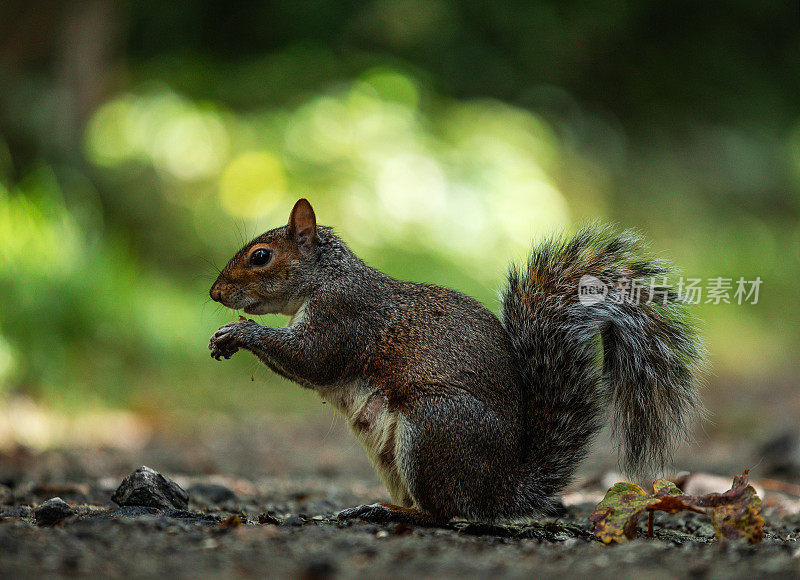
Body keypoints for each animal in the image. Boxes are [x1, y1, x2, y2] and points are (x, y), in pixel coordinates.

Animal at [209, 198, 704, 524]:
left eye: (261, 256)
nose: (215, 293)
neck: (327, 278)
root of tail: (501, 491)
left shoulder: (345, 317)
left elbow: (312, 360)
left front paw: (239, 333)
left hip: (433, 427)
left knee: (444, 513)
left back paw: (387, 512)